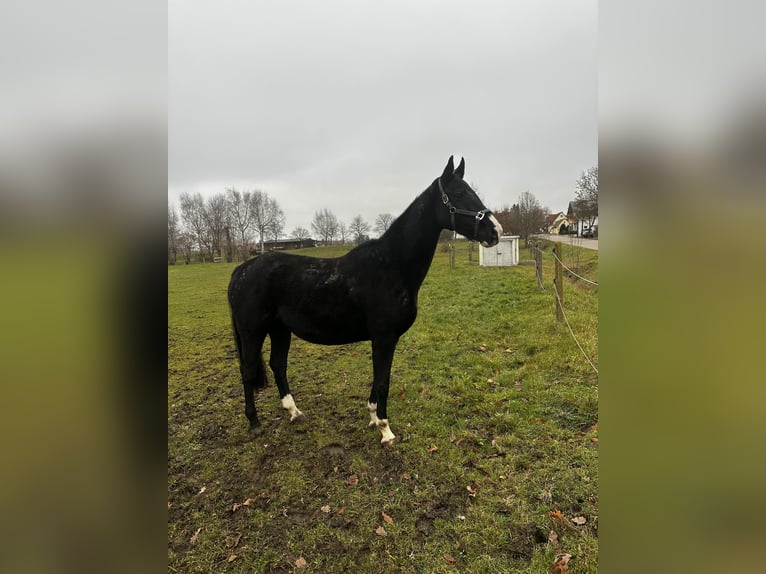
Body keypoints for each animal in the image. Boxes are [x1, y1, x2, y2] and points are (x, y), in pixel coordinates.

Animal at [228, 155, 504, 448]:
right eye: (459, 194)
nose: (496, 231)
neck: (390, 266)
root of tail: (240, 270)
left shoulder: (383, 339)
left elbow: (378, 380)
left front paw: (373, 418)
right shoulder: (384, 338)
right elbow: (383, 382)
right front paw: (386, 431)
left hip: (280, 330)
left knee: (278, 365)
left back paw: (294, 412)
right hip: (253, 332)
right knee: (248, 370)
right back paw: (254, 423)